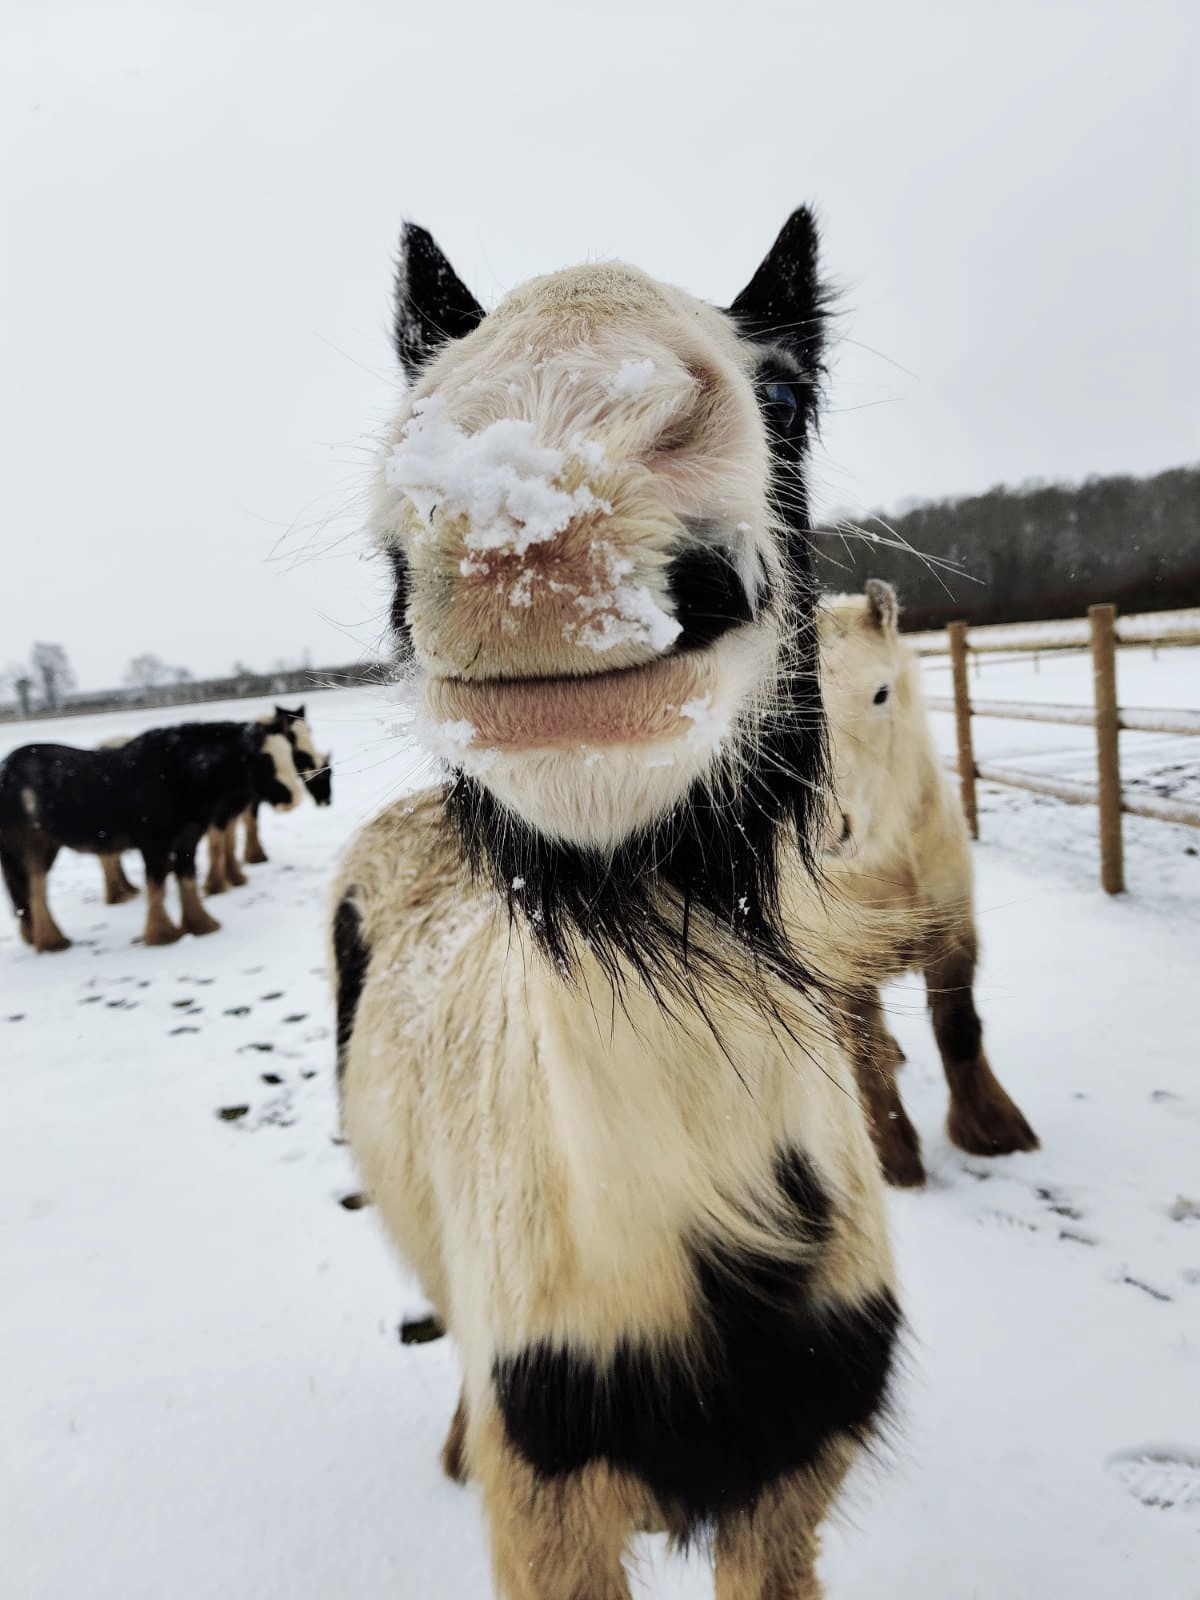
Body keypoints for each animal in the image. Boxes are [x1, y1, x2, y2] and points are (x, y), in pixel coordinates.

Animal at [825, 585, 1036, 1190]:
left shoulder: (953, 932)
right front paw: (893, 1158)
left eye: (881, 692)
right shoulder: (844, 961)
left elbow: (959, 1028)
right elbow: (864, 1053)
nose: (828, 829)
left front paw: (992, 1131)